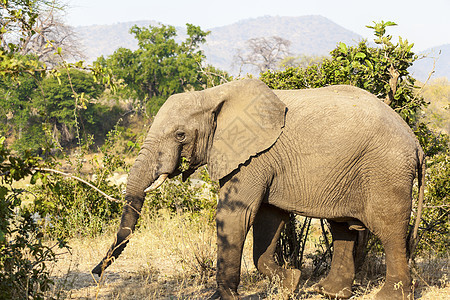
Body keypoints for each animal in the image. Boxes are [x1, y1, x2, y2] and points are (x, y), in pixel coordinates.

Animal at [93, 78, 424, 298]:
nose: (97, 274)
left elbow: (235, 216)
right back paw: (327, 291)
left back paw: (388, 296)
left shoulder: (254, 156)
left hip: (385, 171)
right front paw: (291, 281)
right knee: (343, 227)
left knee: (389, 230)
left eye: (180, 135)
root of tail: (415, 141)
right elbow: (268, 218)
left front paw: (223, 298)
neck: (213, 95)